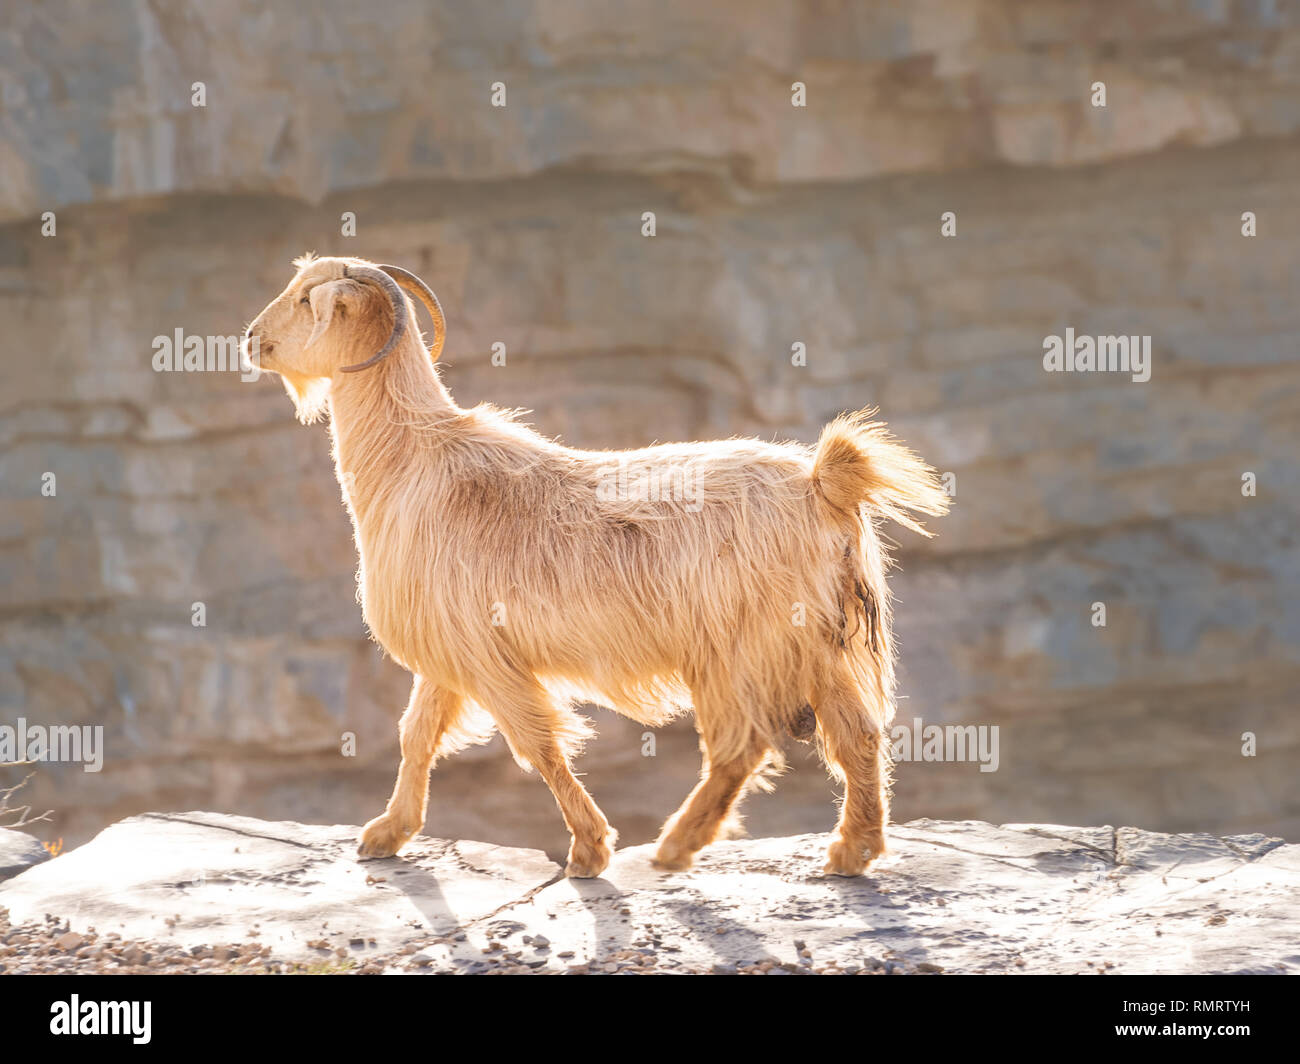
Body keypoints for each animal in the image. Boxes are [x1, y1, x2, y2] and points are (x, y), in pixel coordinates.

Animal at [244, 252, 951, 874]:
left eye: (307, 299)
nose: (251, 339)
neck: (413, 454)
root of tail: (824, 481)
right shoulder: (454, 647)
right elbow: (416, 733)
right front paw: (388, 833)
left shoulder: (484, 655)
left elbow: (537, 745)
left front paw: (589, 849)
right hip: (811, 645)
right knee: (853, 737)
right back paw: (845, 851)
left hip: (739, 646)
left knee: (744, 745)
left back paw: (679, 845)